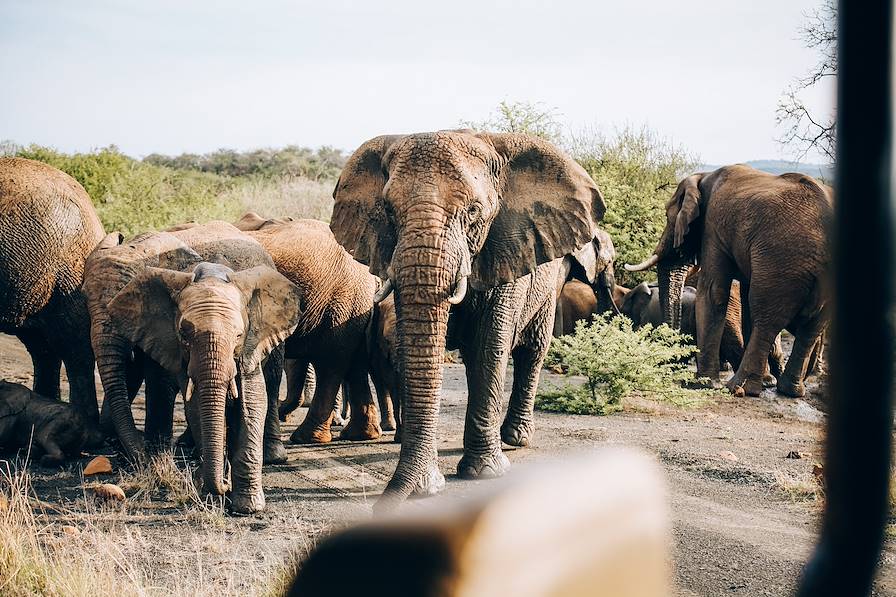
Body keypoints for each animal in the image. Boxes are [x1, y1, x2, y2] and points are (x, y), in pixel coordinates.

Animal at [84, 220, 300, 512]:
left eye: (239, 335)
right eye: (84, 297)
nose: (140, 459)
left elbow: (252, 401)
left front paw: (246, 506)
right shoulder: (156, 327)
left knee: (273, 380)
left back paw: (270, 456)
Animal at [332, 130, 604, 508]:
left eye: (473, 212)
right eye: (387, 211)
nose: (378, 509)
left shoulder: (507, 247)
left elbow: (490, 346)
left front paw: (485, 473)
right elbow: (411, 348)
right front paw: (425, 488)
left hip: (550, 283)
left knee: (531, 350)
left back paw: (514, 440)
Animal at [624, 163, 832, 396]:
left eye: (668, 216)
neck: (702, 177)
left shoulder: (713, 225)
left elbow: (713, 291)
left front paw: (702, 384)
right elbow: (743, 300)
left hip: (781, 260)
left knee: (766, 318)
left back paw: (740, 387)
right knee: (811, 326)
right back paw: (788, 390)